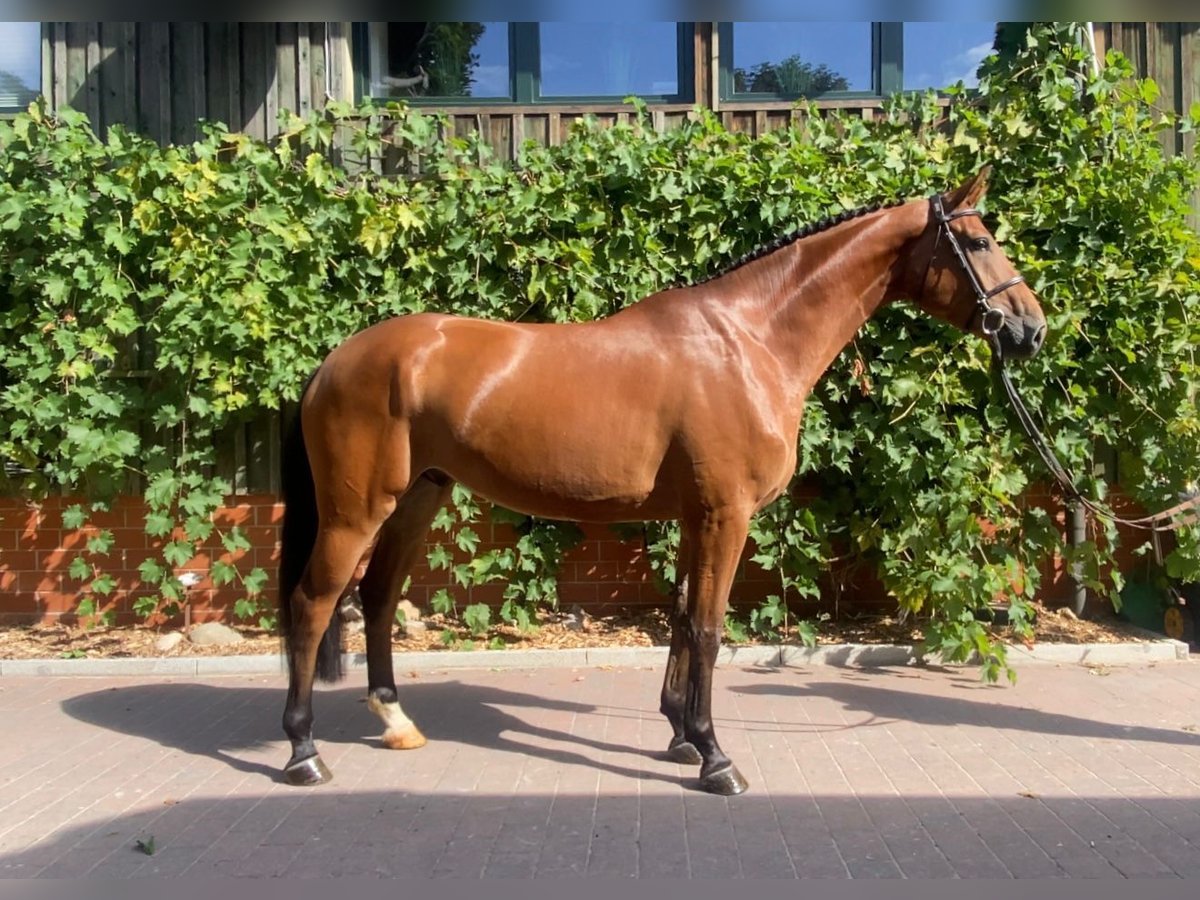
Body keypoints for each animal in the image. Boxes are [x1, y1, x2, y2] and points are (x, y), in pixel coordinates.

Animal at [276, 166, 1046, 795]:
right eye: (979, 243)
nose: (1030, 330)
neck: (749, 340)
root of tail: (334, 361)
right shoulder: (726, 514)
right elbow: (706, 627)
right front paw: (715, 758)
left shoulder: (693, 516)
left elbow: (679, 617)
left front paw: (679, 736)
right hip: (356, 511)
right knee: (313, 604)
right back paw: (304, 752)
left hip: (419, 496)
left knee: (377, 597)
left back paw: (395, 721)